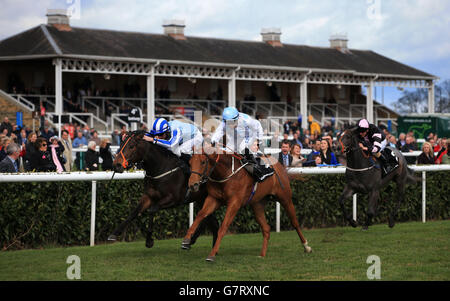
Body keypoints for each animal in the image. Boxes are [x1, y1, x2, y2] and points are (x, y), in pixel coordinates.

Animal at [181, 146, 312, 262]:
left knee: (295, 222)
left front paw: (212, 255)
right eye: (190, 163)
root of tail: (279, 165)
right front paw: (186, 240)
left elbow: (223, 227)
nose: (192, 185)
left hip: (285, 198)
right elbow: (200, 215)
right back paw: (262, 255)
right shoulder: (214, 199)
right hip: (257, 204)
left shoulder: (234, 203)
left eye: (203, 162)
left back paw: (306, 246)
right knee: (266, 228)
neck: (226, 173)